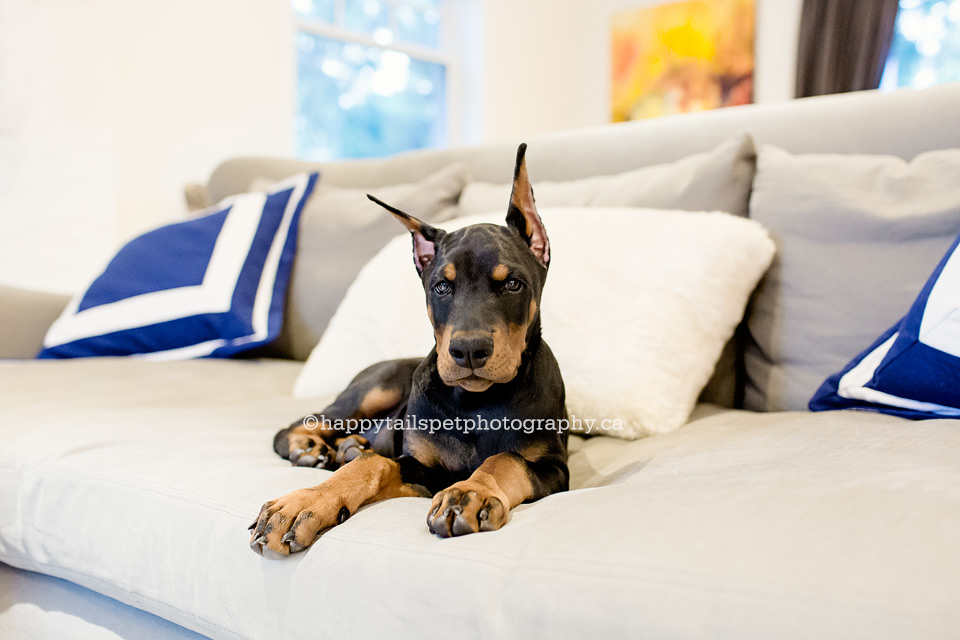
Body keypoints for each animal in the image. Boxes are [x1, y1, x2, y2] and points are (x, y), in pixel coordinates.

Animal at [249, 145, 568, 556]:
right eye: (441, 286)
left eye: (513, 283)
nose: (468, 351)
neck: (476, 402)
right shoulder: (420, 465)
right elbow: (373, 466)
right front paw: (303, 503)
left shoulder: (556, 469)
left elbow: (507, 458)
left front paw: (470, 493)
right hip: (374, 390)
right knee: (307, 421)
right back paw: (308, 446)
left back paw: (351, 446)